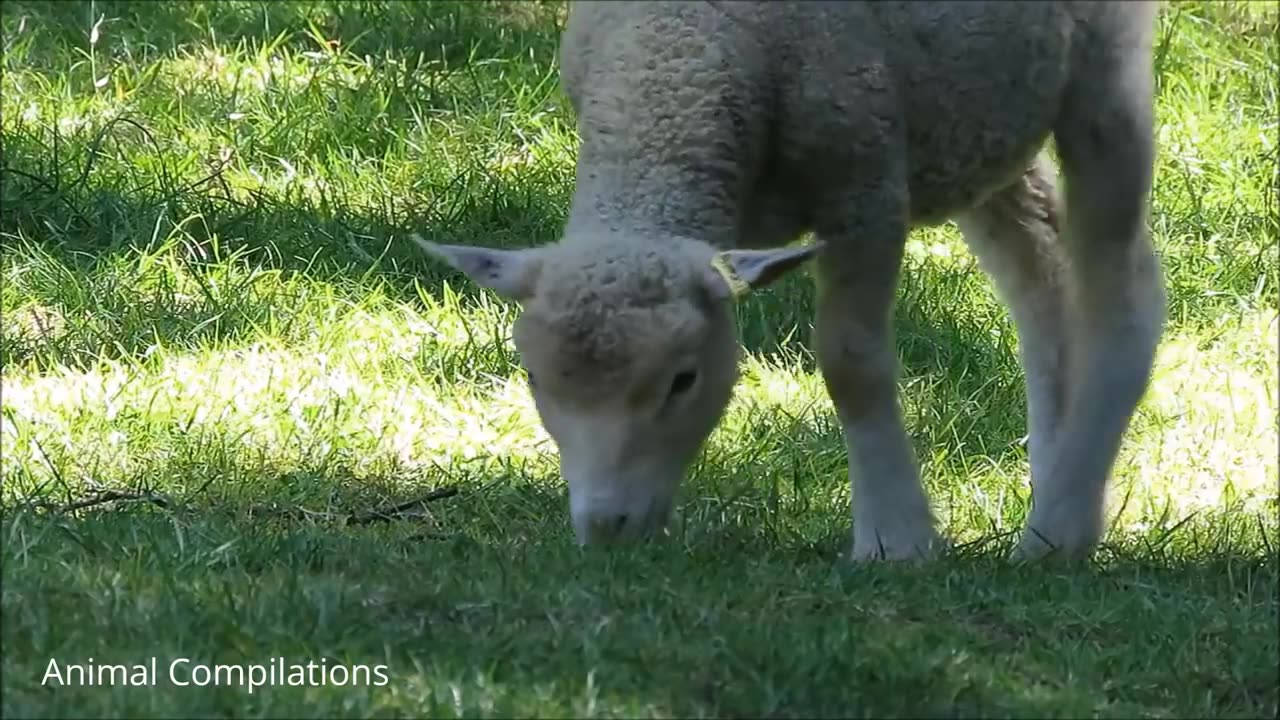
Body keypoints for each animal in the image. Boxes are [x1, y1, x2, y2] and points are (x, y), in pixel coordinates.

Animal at [419, 0, 1172, 561]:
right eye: (534, 379)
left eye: (683, 381)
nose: (606, 531)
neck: (678, 57)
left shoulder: (865, 184)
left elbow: (852, 365)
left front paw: (894, 539)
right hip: (979, 116)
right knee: (1042, 273)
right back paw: (1056, 475)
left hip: (1104, 68)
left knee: (1123, 287)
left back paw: (1060, 531)